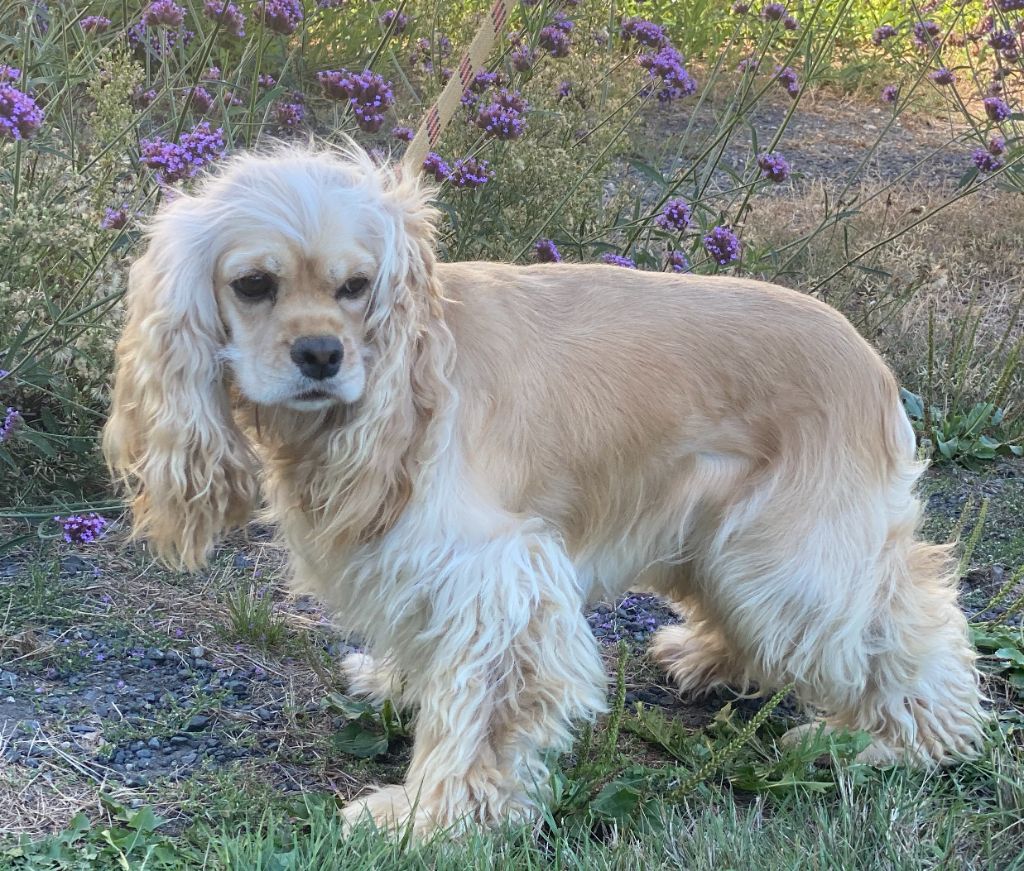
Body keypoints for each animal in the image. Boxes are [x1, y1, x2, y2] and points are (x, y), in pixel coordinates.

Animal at [101, 144, 983, 839]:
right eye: (253, 284)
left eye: (356, 286)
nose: (322, 354)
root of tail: (872, 363)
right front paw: (398, 686)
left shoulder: (495, 572)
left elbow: (481, 714)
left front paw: (428, 816)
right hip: (727, 542)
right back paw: (711, 657)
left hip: (789, 553)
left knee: (904, 632)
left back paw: (901, 742)